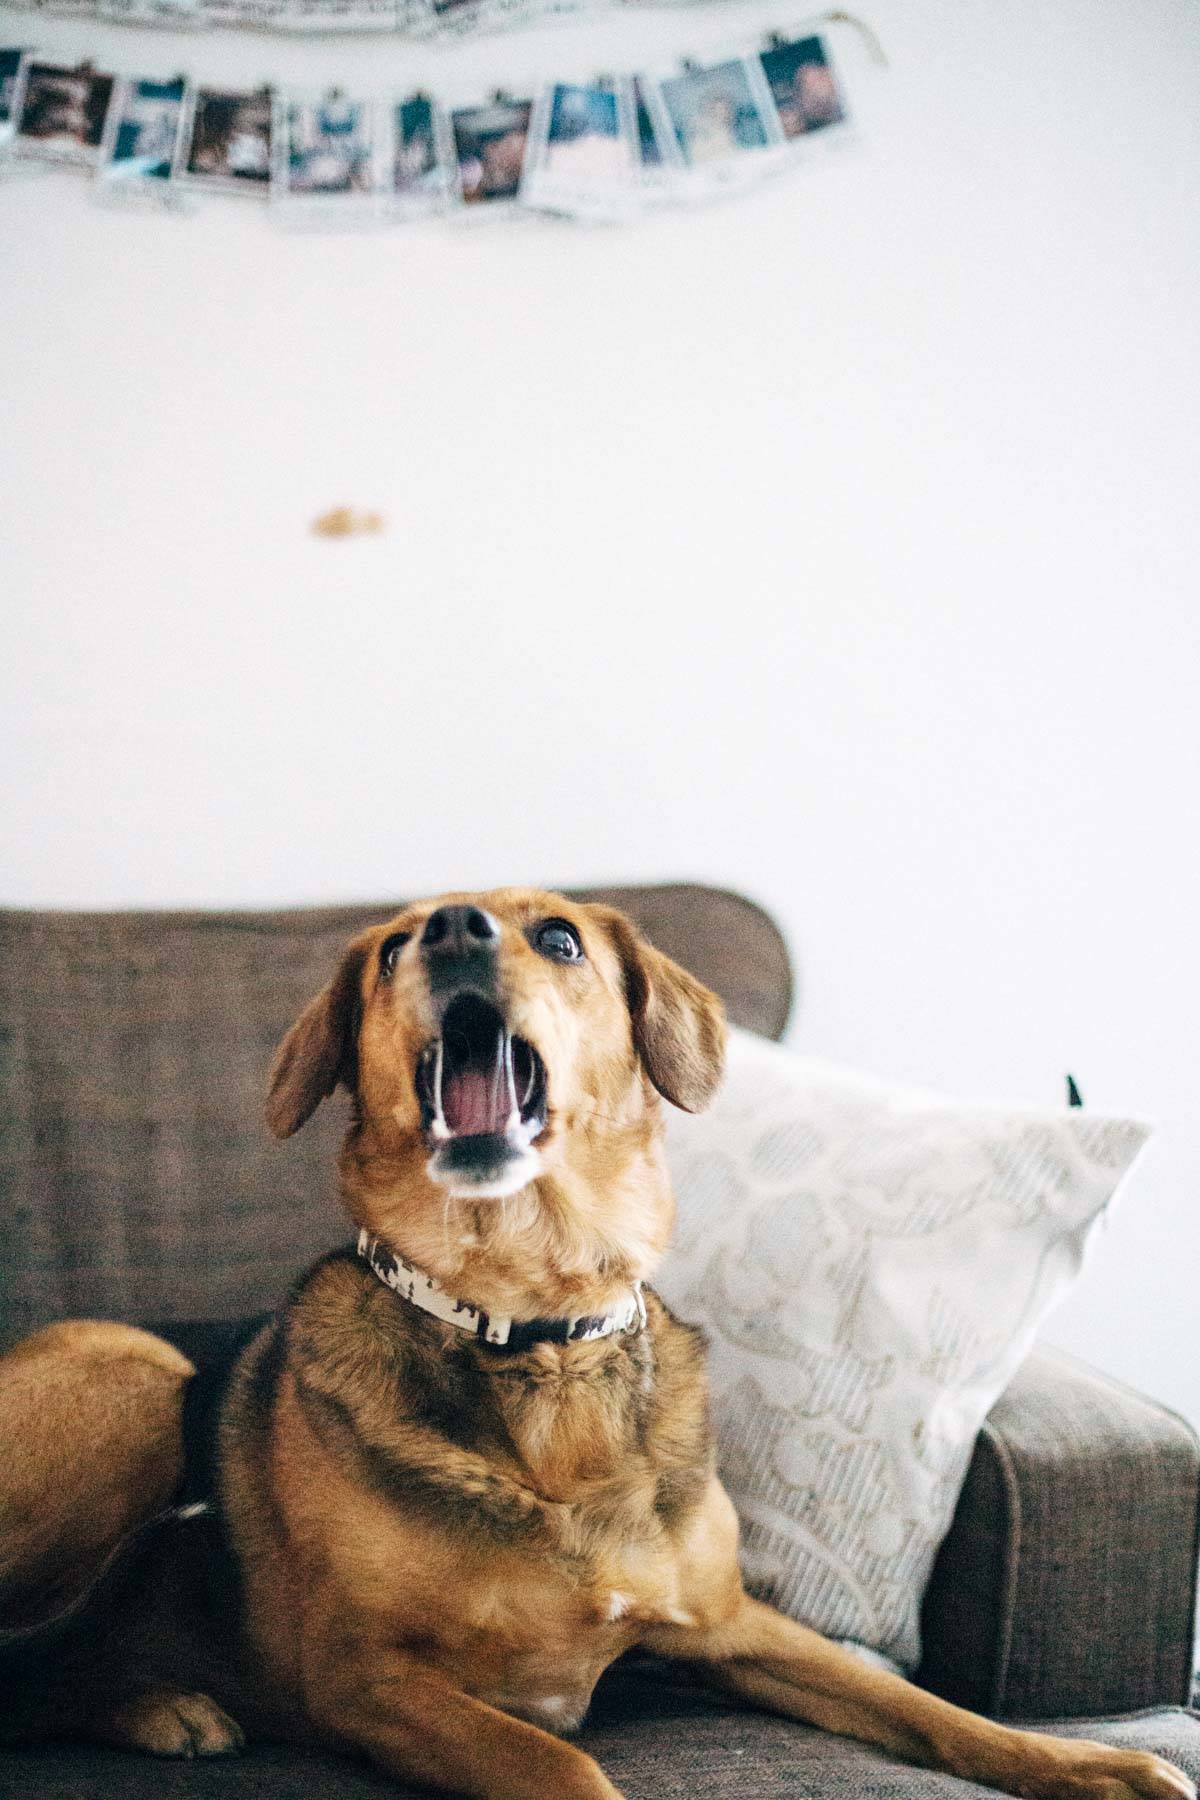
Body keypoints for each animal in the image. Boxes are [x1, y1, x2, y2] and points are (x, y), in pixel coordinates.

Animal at [0, 889, 1194, 1800]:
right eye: (390, 949)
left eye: (561, 938)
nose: (453, 930)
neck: (538, 1337)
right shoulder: (367, 1679)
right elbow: (565, 1769)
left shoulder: (731, 1623)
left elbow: (918, 1702)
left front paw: (1085, 1764)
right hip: (136, 1375)